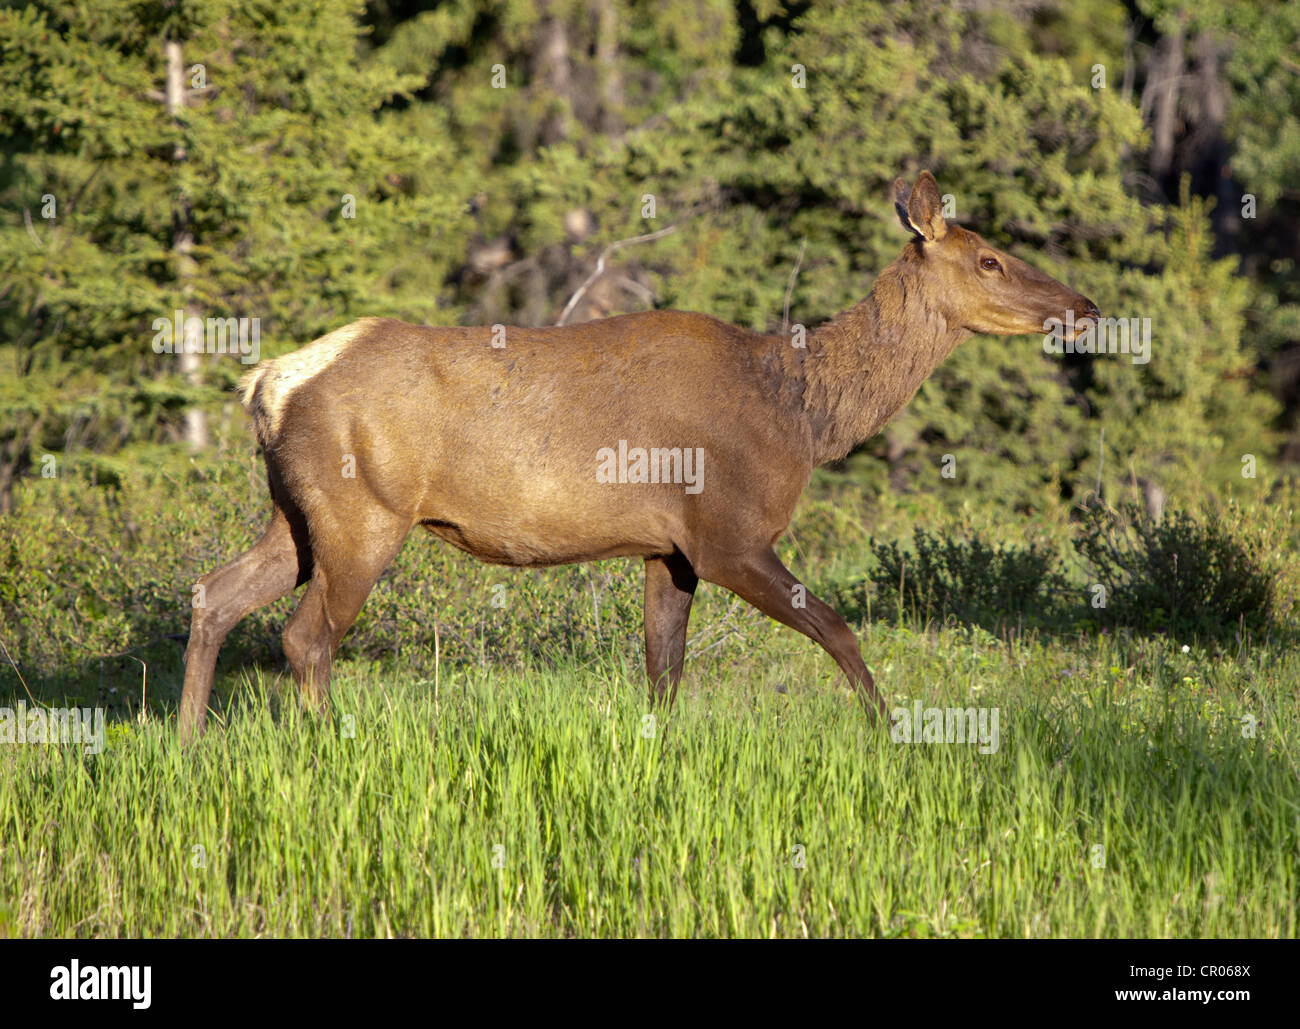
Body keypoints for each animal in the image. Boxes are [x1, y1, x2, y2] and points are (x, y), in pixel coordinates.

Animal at [178, 171, 1099, 740]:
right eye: (990, 257)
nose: (1084, 305)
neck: (803, 415)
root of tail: (267, 382)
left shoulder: (670, 547)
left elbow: (663, 669)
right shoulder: (729, 531)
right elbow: (837, 627)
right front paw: (887, 729)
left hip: (295, 513)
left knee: (214, 592)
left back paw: (187, 742)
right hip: (361, 512)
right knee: (306, 635)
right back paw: (328, 742)